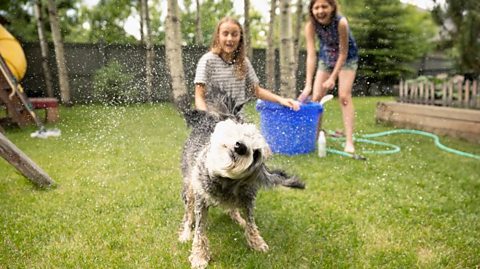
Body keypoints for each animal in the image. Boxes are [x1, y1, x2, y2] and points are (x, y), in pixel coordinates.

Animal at [176, 95, 304, 266]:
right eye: (244, 135)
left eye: (256, 154)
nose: (240, 146)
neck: (224, 181)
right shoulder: (200, 199)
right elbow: (199, 230)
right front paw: (199, 256)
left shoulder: (248, 198)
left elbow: (251, 222)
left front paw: (257, 242)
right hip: (189, 187)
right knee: (188, 214)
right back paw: (185, 233)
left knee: (232, 208)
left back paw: (237, 218)